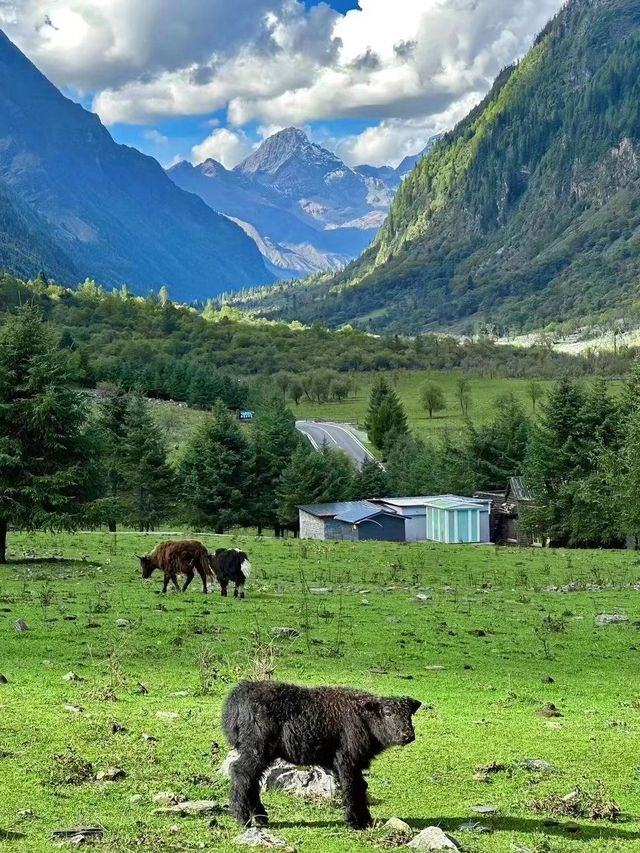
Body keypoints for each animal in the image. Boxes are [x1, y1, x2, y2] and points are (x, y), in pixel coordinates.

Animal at [222, 680, 422, 824]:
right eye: (387, 713)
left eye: (409, 714)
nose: (408, 735)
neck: (365, 717)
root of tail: (240, 693)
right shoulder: (346, 760)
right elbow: (352, 786)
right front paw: (355, 822)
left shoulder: (353, 763)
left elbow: (361, 786)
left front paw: (365, 820)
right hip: (256, 748)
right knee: (241, 773)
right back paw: (243, 819)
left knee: (251, 779)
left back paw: (261, 818)